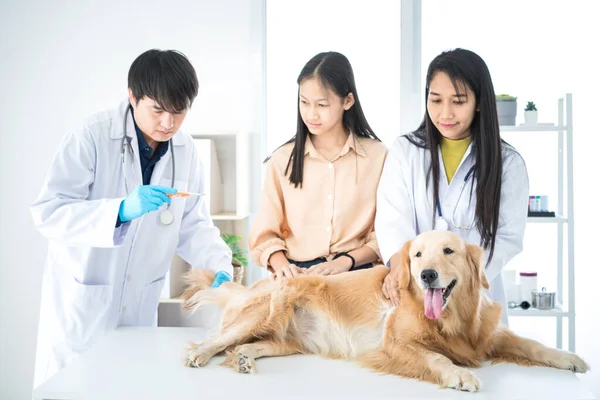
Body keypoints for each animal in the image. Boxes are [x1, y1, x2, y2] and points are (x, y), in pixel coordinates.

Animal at [180, 230, 588, 392]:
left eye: (449, 251)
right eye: (417, 255)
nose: (426, 275)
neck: (451, 320)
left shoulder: (489, 334)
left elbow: (533, 345)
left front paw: (569, 357)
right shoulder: (396, 344)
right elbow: (437, 358)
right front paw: (459, 375)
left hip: (288, 340)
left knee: (244, 345)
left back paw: (245, 358)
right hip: (264, 312)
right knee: (218, 339)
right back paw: (198, 355)